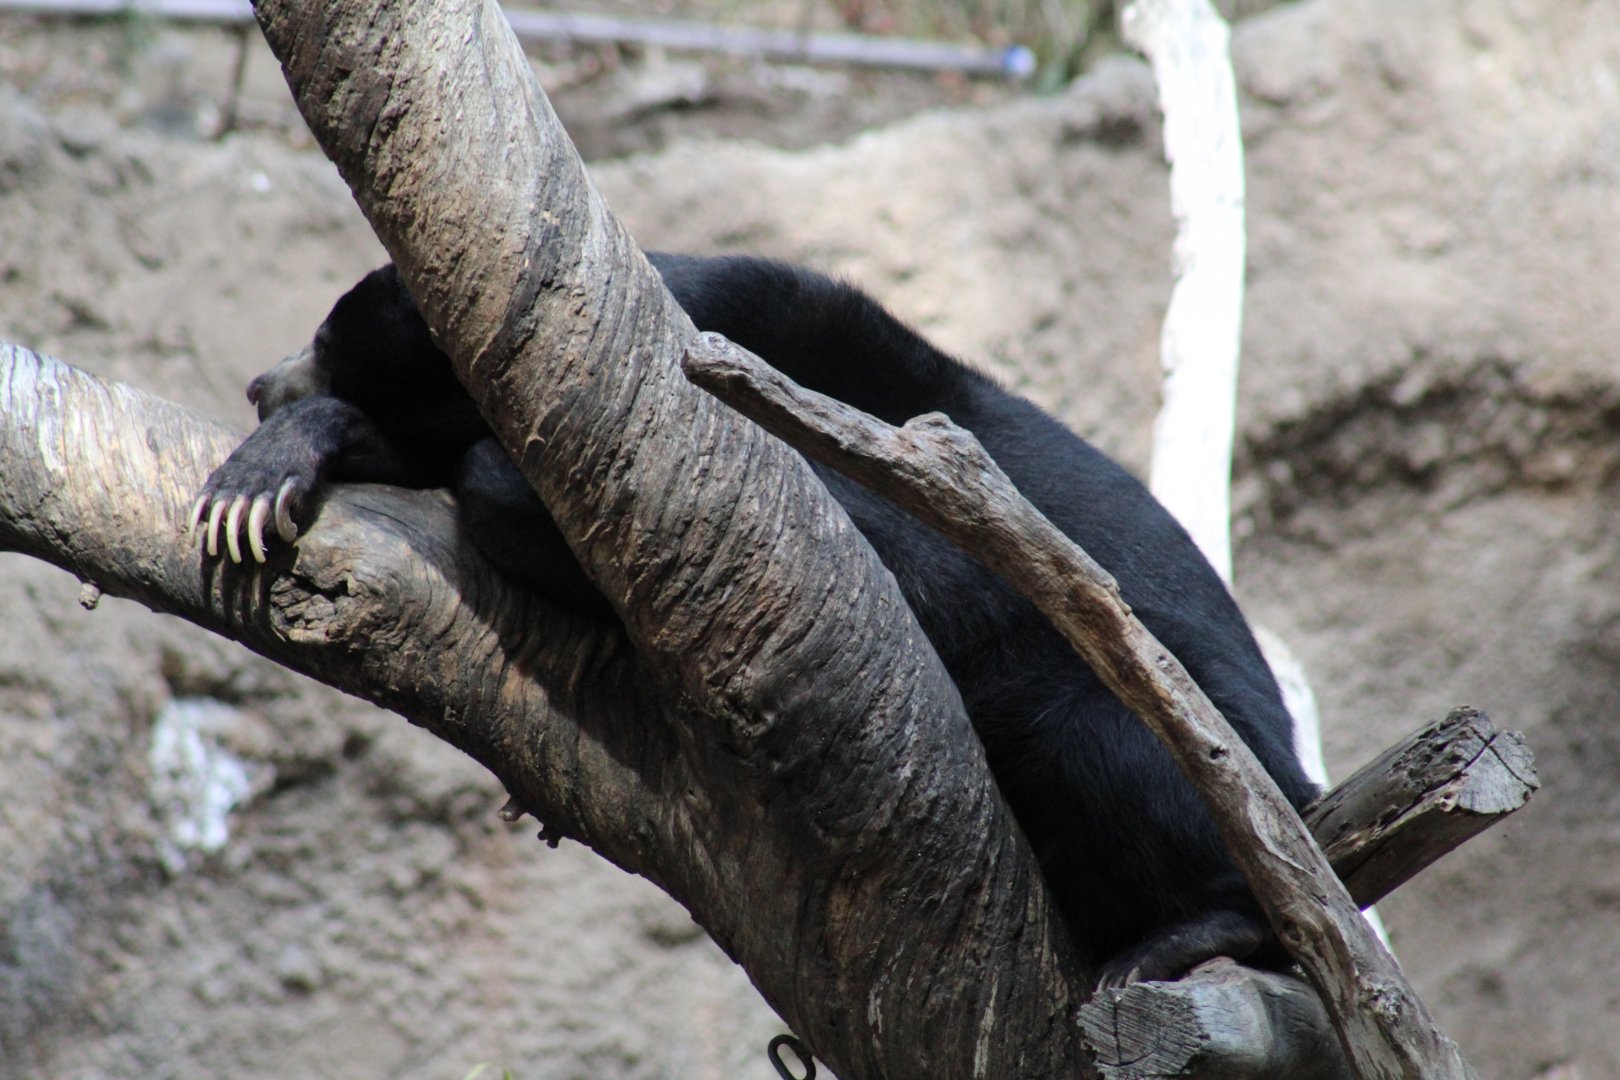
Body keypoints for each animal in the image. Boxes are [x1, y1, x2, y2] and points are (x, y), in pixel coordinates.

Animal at [189, 254, 1319, 985]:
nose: (257, 378)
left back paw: (1189, 936)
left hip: (1208, 768)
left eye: (325, 339)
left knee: (1095, 737)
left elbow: (910, 549)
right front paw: (267, 479)